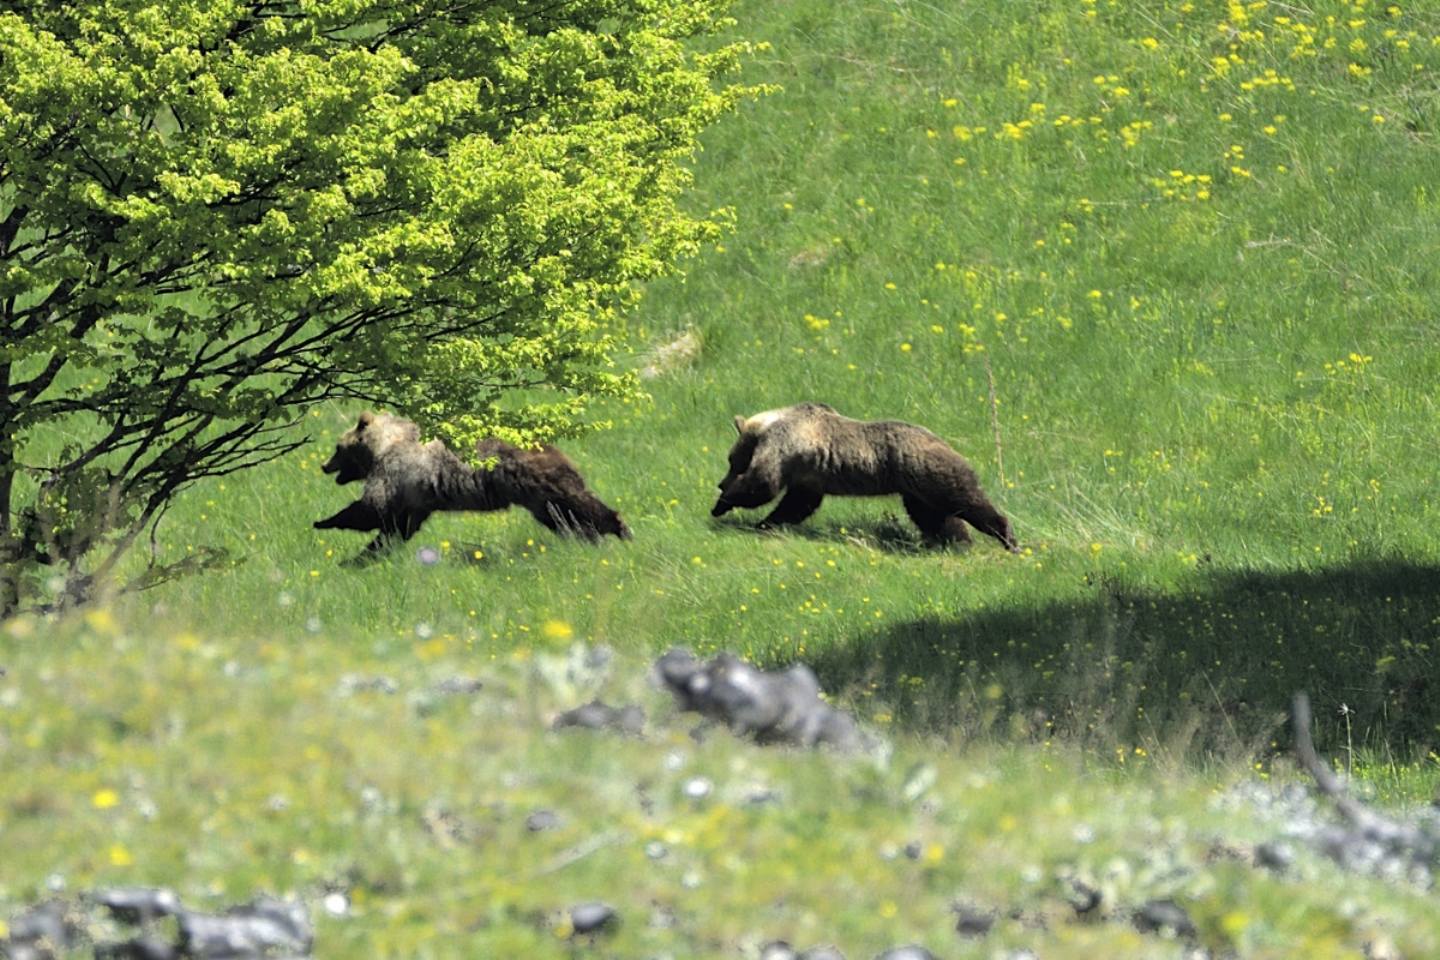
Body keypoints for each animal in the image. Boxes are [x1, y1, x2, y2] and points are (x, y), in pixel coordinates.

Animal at [315, 408, 630, 555]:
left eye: (337, 448)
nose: (324, 465)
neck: (383, 446)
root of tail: (552, 449)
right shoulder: (416, 496)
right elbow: (399, 525)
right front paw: (369, 553)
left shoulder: (398, 471)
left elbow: (373, 508)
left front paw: (324, 521)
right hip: (539, 499)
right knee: (564, 517)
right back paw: (590, 538)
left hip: (542, 482)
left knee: (580, 505)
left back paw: (619, 527)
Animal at [708, 402, 1013, 552]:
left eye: (732, 459)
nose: (721, 482)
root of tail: (946, 443)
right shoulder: (808, 478)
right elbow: (797, 504)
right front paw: (767, 523)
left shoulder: (784, 447)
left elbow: (763, 484)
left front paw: (723, 506)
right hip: (917, 490)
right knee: (936, 517)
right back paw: (957, 541)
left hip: (932, 474)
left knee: (968, 501)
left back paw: (1007, 536)